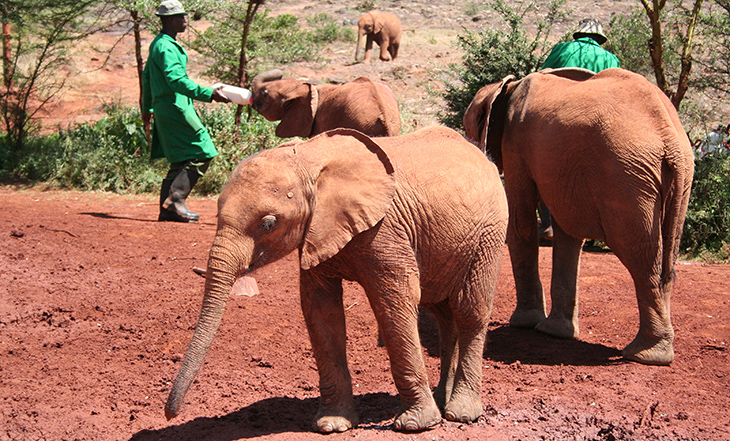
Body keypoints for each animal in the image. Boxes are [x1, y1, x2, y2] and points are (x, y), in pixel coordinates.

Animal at [164, 125, 506, 432]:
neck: (308, 157)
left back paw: (460, 414)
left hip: (489, 233)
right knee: (444, 315)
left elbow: (394, 304)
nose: (170, 413)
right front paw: (331, 424)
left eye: (269, 223)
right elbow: (321, 310)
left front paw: (415, 425)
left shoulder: (386, 230)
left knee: (470, 312)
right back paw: (443, 400)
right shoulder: (316, 232)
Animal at [464, 68, 692, 364]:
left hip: (627, 178)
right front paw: (553, 332)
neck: (509, 86)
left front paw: (524, 324)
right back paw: (655, 352)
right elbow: (568, 234)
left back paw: (643, 356)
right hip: (677, 179)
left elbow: (521, 224)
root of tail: (670, 138)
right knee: (666, 259)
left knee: (641, 257)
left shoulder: (516, 144)